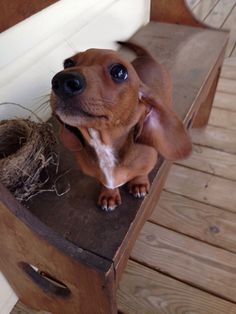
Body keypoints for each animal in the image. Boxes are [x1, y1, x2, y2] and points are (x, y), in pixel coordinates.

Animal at [50, 41, 192, 212]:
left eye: (119, 71)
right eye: (68, 63)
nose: (63, 80)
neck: (103, 145)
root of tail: (147, 58)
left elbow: (141, 173)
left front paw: (139, 183)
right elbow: (106, 184)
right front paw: (109, 195)